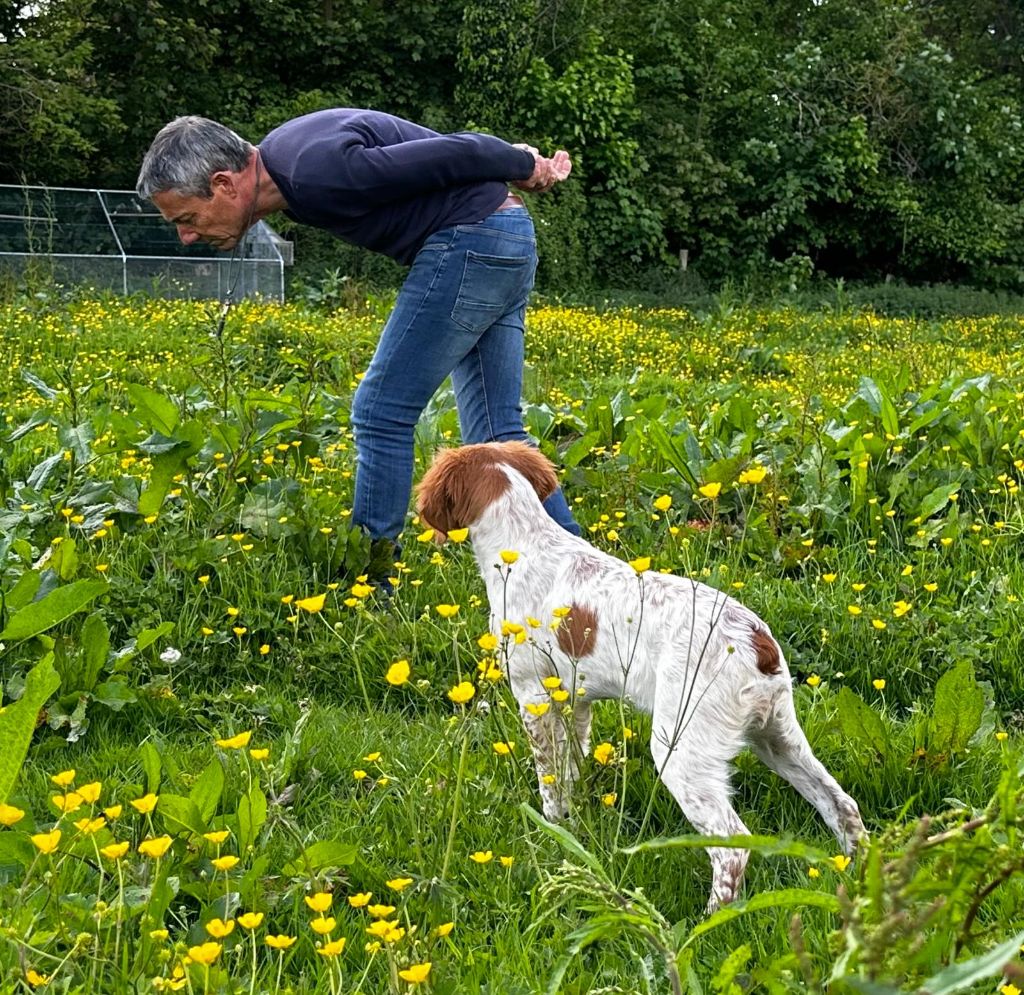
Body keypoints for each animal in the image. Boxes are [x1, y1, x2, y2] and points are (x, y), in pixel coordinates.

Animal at [415, 442, 864, 909]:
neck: (525, 544)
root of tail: (754, 639)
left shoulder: (533, 694)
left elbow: (549, 776)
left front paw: (552, 826)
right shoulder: (574, 701)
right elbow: (572, 767)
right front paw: (574, 825)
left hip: (680, 749)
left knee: (731, 846)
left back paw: (712, 918)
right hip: (777, 736)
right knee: (842, 804)